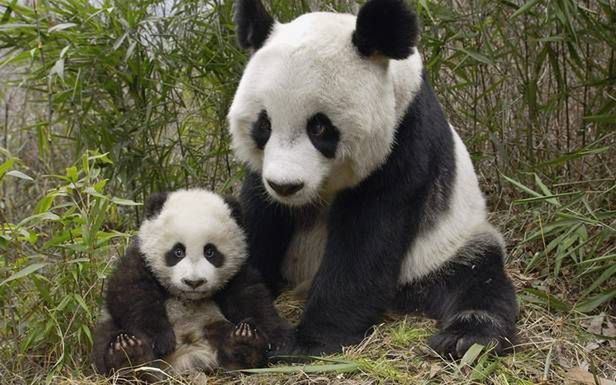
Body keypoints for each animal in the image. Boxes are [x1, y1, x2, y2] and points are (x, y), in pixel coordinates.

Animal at [229, 0, 516, 356]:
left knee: (478, 279)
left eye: (319, 127)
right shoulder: (262, 176)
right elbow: (258, 219)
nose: (286, 186)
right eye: (264, 125)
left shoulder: (404, 141)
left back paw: (466, 337)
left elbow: (367, 240)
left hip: (447, 246)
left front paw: (308, 342)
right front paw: (248, 320)